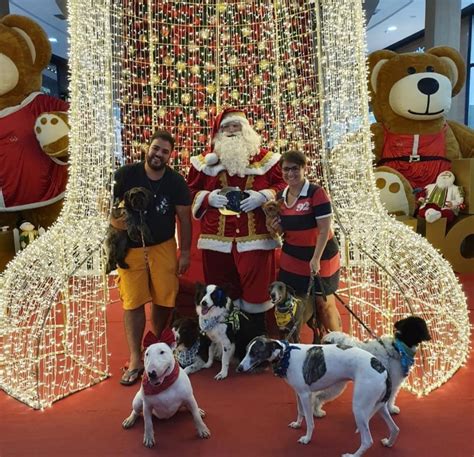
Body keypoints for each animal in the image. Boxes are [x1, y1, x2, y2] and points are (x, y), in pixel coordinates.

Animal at [239, 334, 398, 456]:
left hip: (359, 408)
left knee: (367, 440)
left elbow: (310, 421)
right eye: (246, 351)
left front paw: (307, 439)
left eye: (254, 353)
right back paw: (389, 442)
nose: (239, 368)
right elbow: (300, 411)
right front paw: (297, 424)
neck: (286, 355)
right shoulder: (298, 393)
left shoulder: (305, 395)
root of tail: (383, 370)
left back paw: (353, 455)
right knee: (395, 428)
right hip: (379, 405)